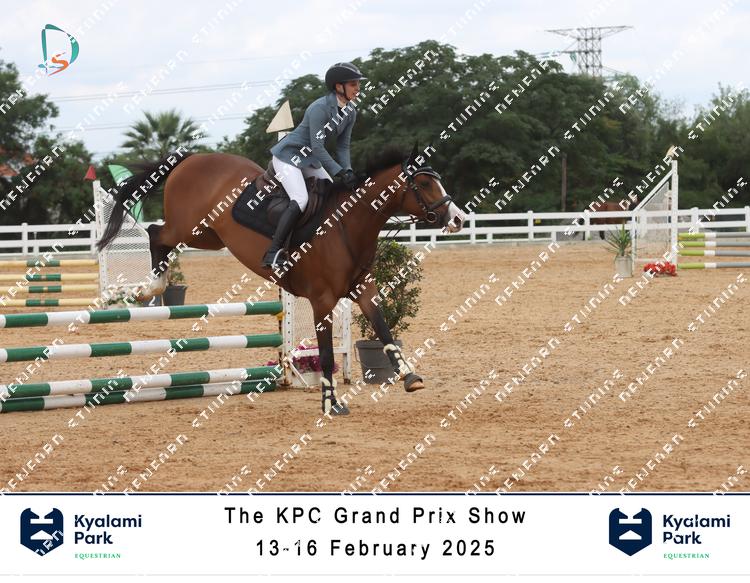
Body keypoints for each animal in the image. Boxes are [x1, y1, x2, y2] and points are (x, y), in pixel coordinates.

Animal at [96, 143, 465, 416]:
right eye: (424, 184)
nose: (458, 218)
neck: (347, 226)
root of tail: (193, 158)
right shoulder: (322, 301)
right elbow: (327, 355)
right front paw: (331, 404)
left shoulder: (363, 289)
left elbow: (384, 330)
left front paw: (410, 377)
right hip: (191, 228)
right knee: (156, 233)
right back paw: (152, 287)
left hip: (210, 237)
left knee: (163, 238)